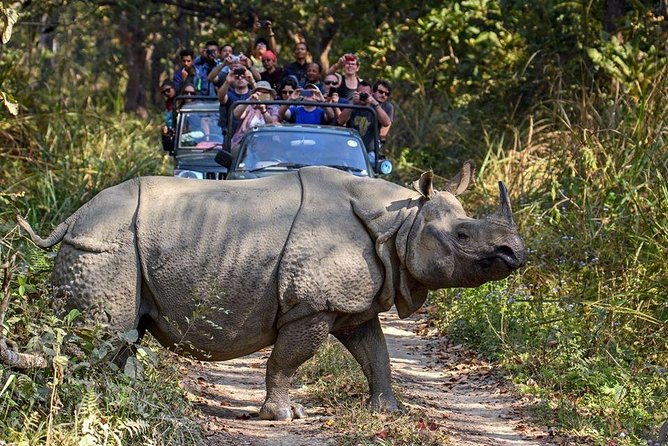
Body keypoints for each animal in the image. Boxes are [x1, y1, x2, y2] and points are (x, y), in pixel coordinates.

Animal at [18, 162, 525, 421]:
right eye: (462, 235)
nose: (516, 253)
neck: (398, 222)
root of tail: (71, 220)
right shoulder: (313, 304)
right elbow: (288, 359)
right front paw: (282, 416)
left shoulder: (351, 305)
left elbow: (375, 353)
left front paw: (388, 411)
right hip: (105, 244)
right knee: (104, 334)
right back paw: (95, 405)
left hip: (108, 241)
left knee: (118, 338)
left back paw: (120, 401)